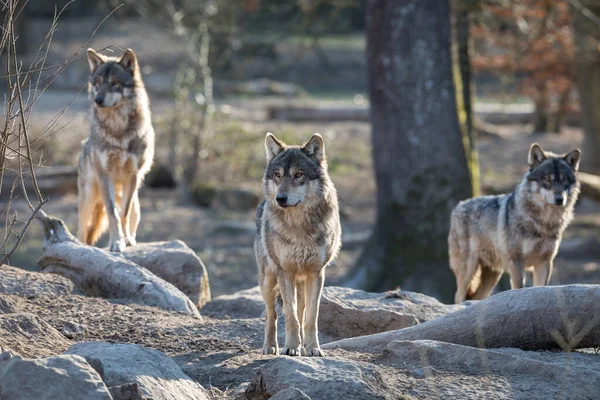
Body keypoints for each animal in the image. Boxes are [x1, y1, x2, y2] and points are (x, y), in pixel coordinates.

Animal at [77, 48, 156, 252]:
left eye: (114, 83)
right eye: (97, 83)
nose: (98, 100)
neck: (117, 129)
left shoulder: (132, 176)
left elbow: (123, 213)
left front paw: (125, 240)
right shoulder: (105, 176)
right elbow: (112, 213)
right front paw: (116, 242)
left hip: (135, 202)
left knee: (131, 214)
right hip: (89, 197)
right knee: (82, 229)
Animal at [450, 144, 580, 304]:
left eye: (565, 180)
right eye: (547, 179)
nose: (559, 199)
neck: (544, 222)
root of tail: (458, 206)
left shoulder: (544, 262)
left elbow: (540, 287)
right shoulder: (517, 262)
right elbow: (519, 289)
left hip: (492, 276)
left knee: (475, 297)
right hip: (469, 268)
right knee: (459, 295)